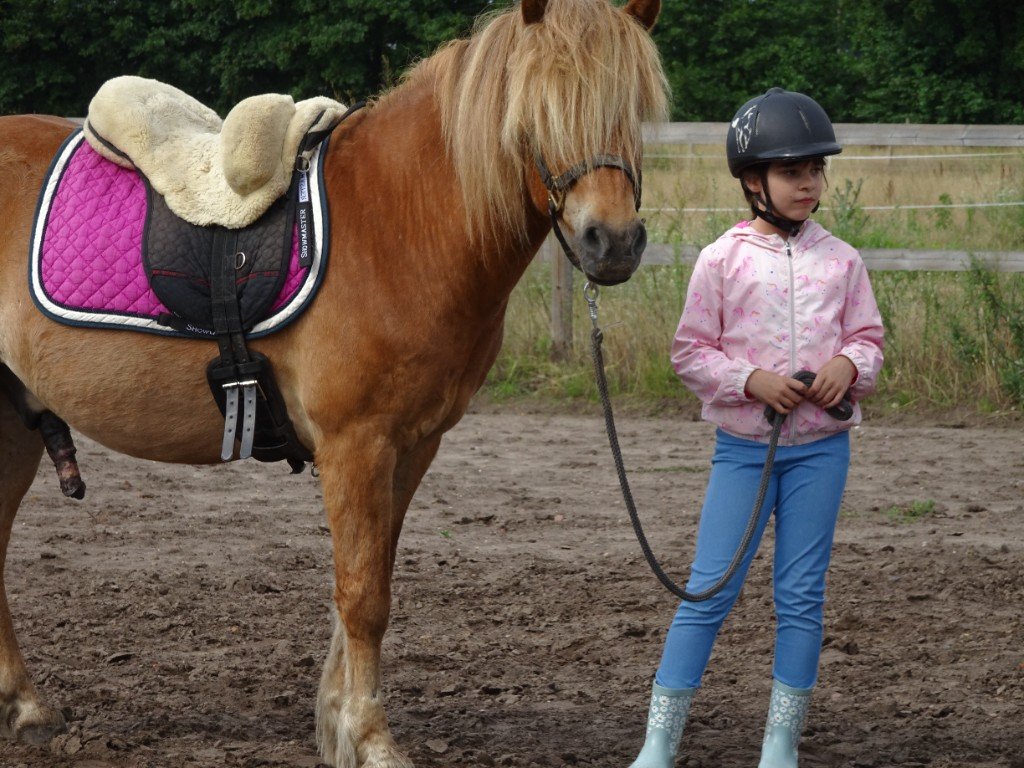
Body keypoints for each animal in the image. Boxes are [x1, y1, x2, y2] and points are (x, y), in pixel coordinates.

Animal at [0, 0, 668, 765]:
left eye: (633, 108)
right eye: (538, 109)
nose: (611, 243)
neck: (397, 224)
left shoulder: (410, 447)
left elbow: (366, 581)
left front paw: (338, 723)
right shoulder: (357, 444)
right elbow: (362, 595)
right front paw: (372, 739)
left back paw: (27, 706)